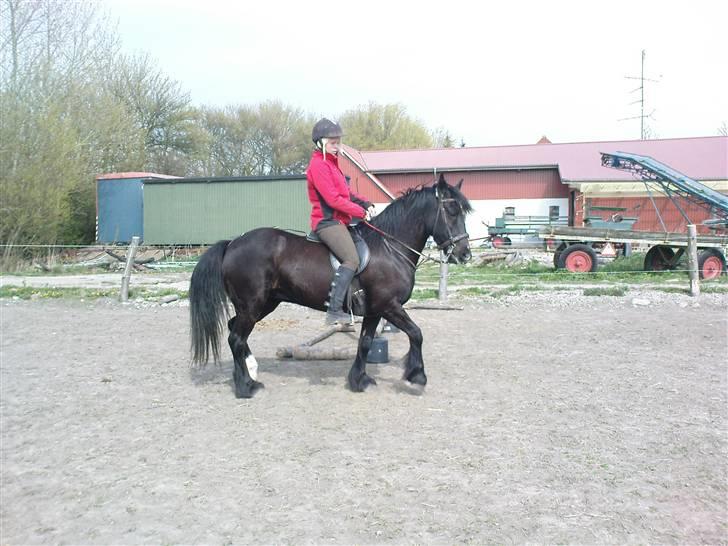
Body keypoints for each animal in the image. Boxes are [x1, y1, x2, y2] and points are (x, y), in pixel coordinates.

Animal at [189, 173, 473, 398]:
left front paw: (359, 380)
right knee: (236, 338)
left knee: (234, 330)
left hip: (264, 304)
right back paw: (246, 386)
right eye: (451, 211)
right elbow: (416, 333)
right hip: (253, 305)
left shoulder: (374, 310)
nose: (464, 254)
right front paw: (417, 376)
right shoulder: (389, 306)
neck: (390, 248)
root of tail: (232, 243)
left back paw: (251, 371)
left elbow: (365, 343)